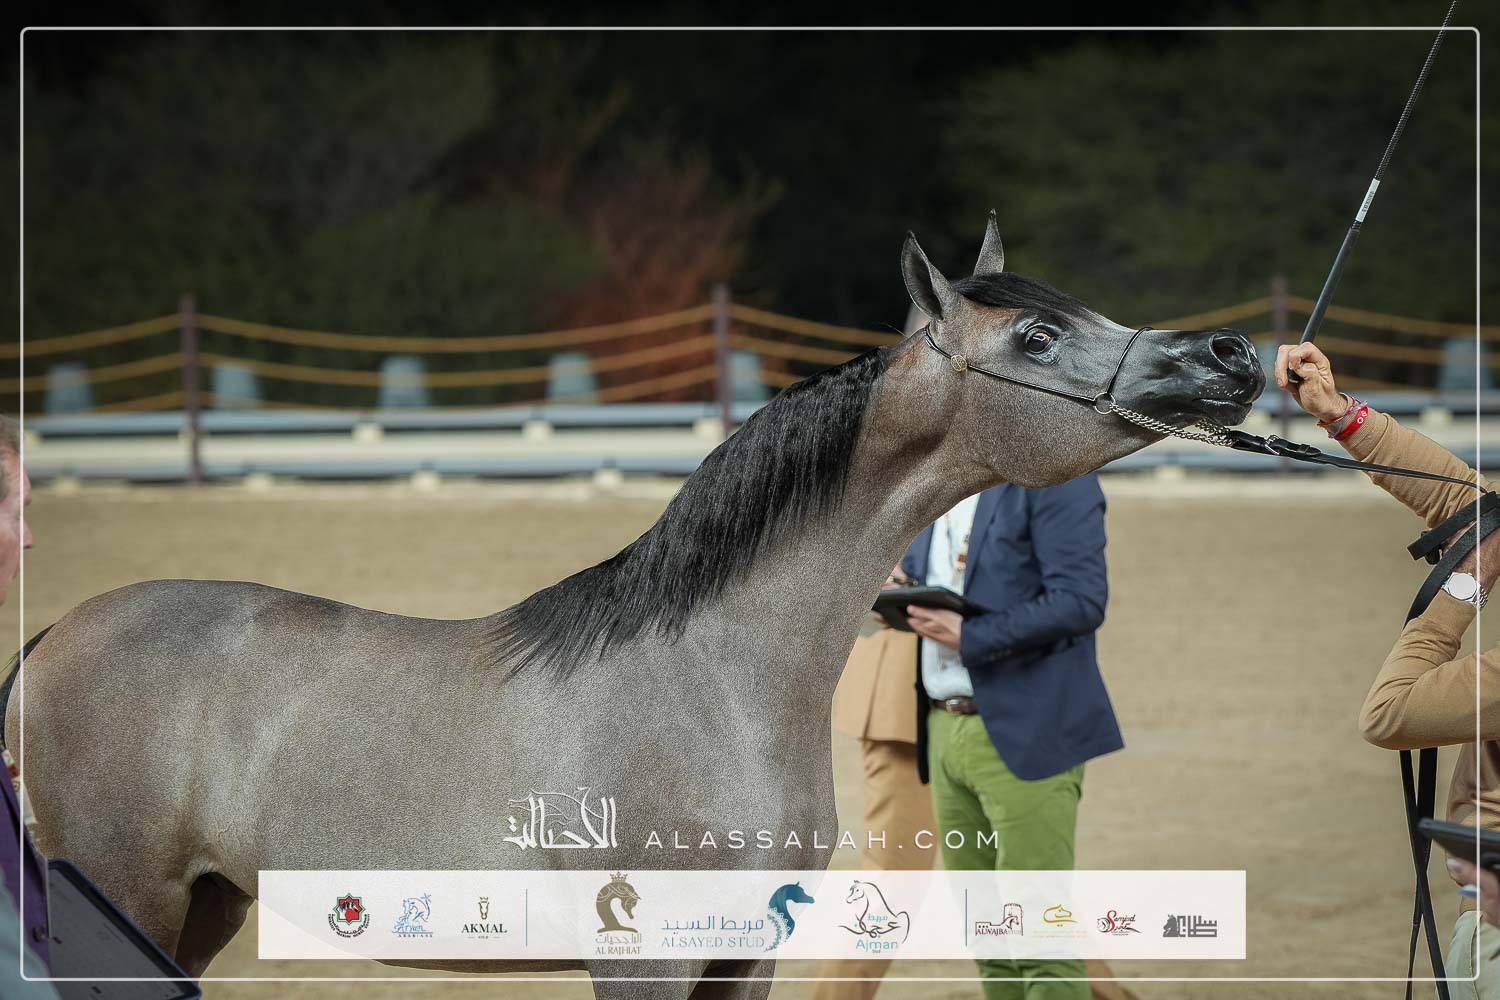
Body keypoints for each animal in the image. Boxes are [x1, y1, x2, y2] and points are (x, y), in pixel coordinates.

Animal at [5, 214, 1264, 998]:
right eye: (1039, 333)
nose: (1231, 353)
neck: (709, 684)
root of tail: (55, 635)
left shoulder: (744, 956)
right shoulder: (644, 959)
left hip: (199, 911)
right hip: (123, 903)